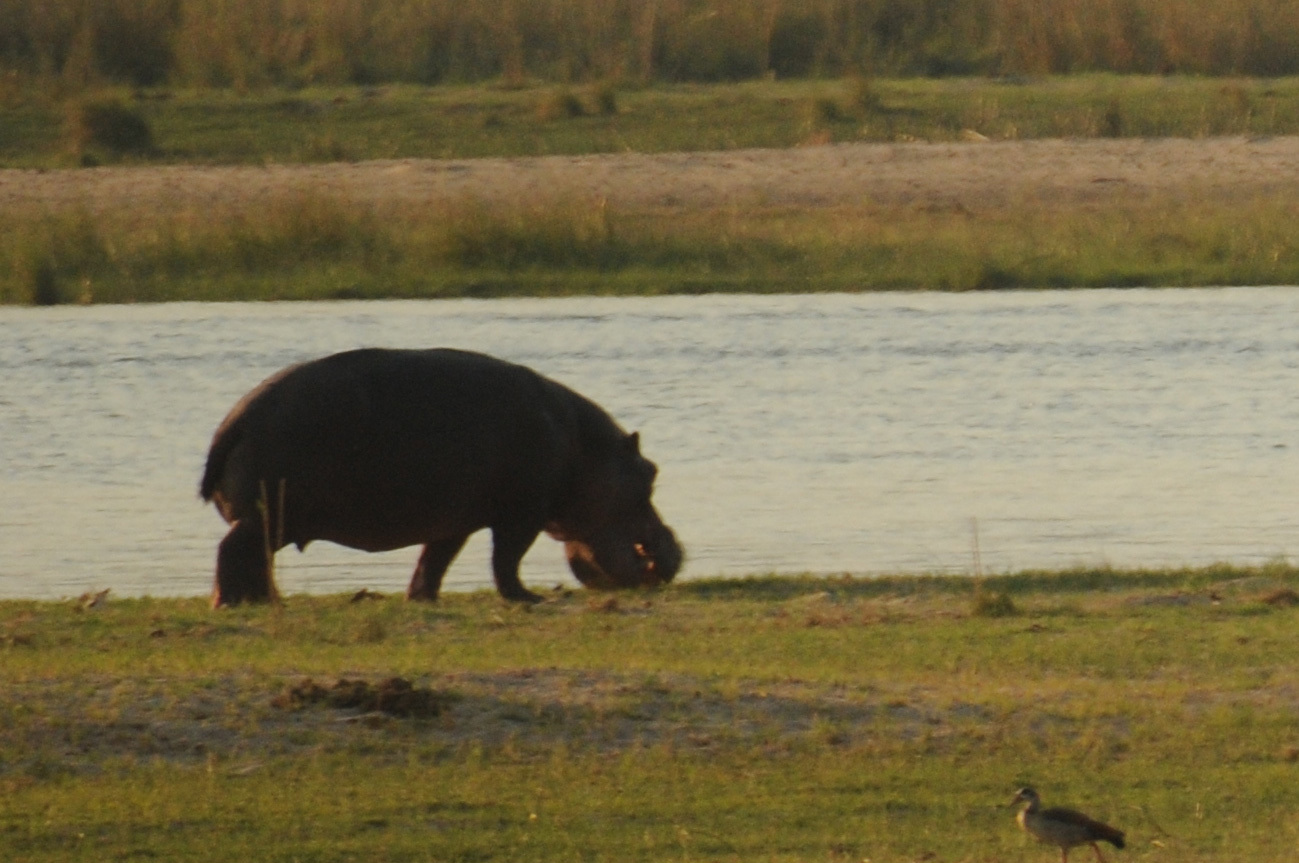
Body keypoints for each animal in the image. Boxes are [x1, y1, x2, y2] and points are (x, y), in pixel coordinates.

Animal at [198, 345, 685, 605]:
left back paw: (261, 600)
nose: (672, 550)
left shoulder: (456, 519)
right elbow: (506, 559)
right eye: (650, 473)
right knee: (235, 551)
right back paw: (234, 604)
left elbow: (435, 560)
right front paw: (529, 599)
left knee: (252, 558)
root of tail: (233, 421)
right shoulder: (521, 514)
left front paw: (422, 598)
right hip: (268, 515)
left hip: (273, 519)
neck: (584, 450)